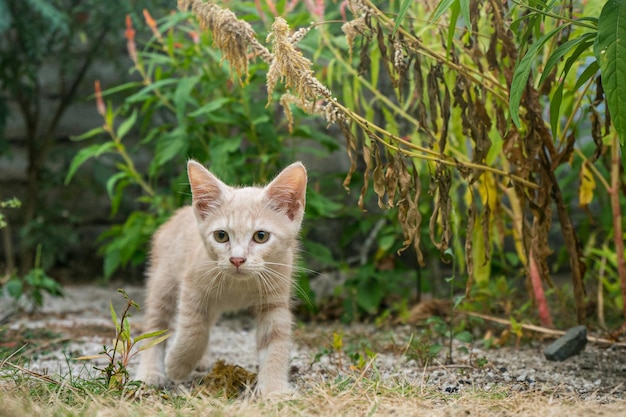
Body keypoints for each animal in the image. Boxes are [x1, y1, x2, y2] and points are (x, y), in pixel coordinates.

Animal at [135, 159, 306, 396]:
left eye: (261, 236)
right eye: (221, 236)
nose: (237, 259)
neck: (239, 285)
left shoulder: (275, 299)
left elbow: (275, 341)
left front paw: (274, 390)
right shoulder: (192, 287)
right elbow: (193, 329)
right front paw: (178, 363)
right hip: (163, 280)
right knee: (155, 325)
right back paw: (150, 371)